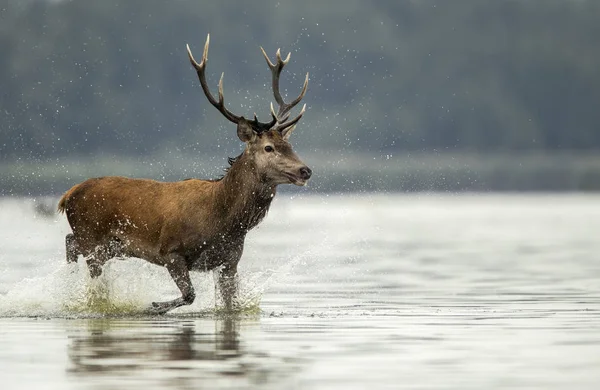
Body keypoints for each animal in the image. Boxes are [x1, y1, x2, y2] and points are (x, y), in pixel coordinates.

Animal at [58, 35, 312, 316]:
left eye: (289, 145)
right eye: (268, 147)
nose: (305, 170)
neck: (224, 221)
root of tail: (67, 195)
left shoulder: (229, 261)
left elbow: (230, 305)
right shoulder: (170, 250)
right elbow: (189, 295)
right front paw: (153, 306)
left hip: (109, 246)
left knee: (70, 242)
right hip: (92, 238)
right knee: (82, 257)